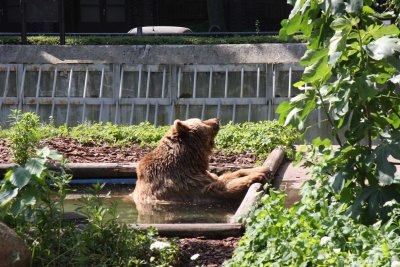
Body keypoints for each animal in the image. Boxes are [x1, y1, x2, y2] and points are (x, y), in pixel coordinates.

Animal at [133, 118, 270, 208]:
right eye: (202, 120)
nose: (217, 119)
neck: (190, 162)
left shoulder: (201, 174)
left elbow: (223, 177)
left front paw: (261, 169)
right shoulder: (182, 184)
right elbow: (219, 189)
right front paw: (258, 176)